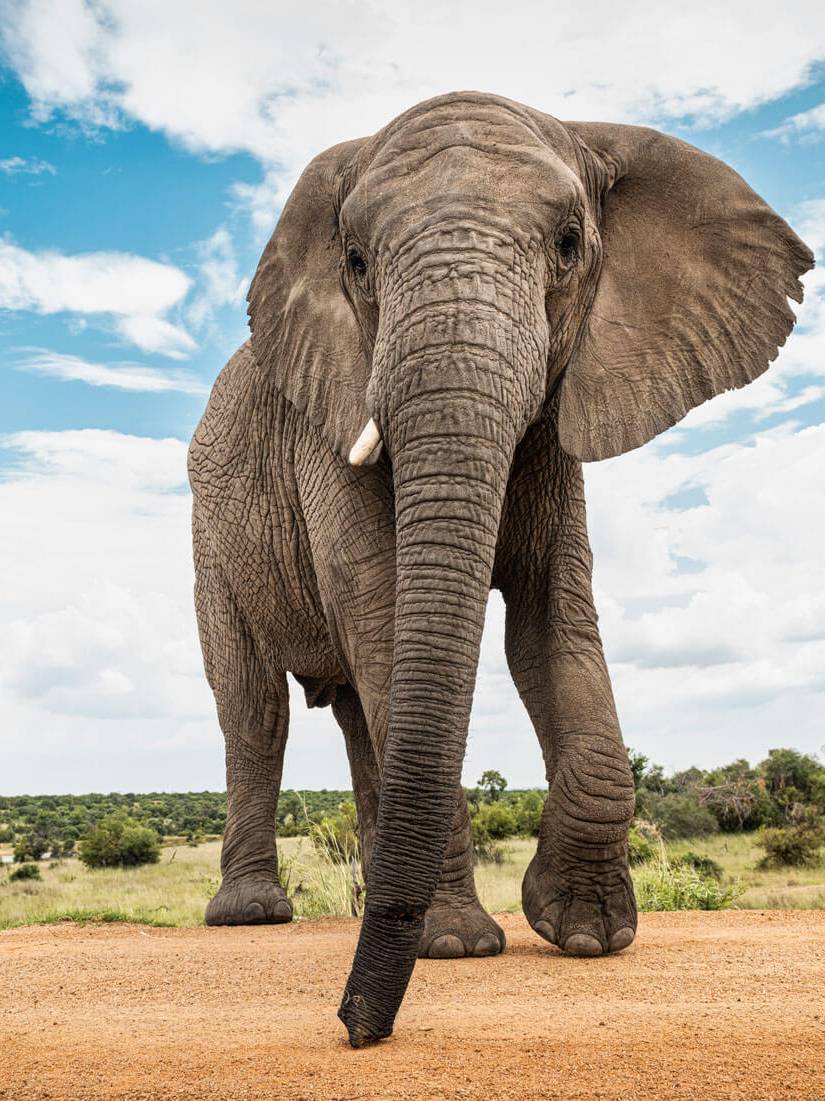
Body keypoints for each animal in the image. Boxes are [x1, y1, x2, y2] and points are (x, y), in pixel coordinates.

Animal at [188, 91, 812, 1047]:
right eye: (357, 263)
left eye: (568, 244)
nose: (352, 1026)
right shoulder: (326, 425)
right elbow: (384, 613)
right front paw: (456, 945)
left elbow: (549, 626)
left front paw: (585, 931)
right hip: (210, 537)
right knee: (254, 708)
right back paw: (254, 915)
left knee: (360, 715)